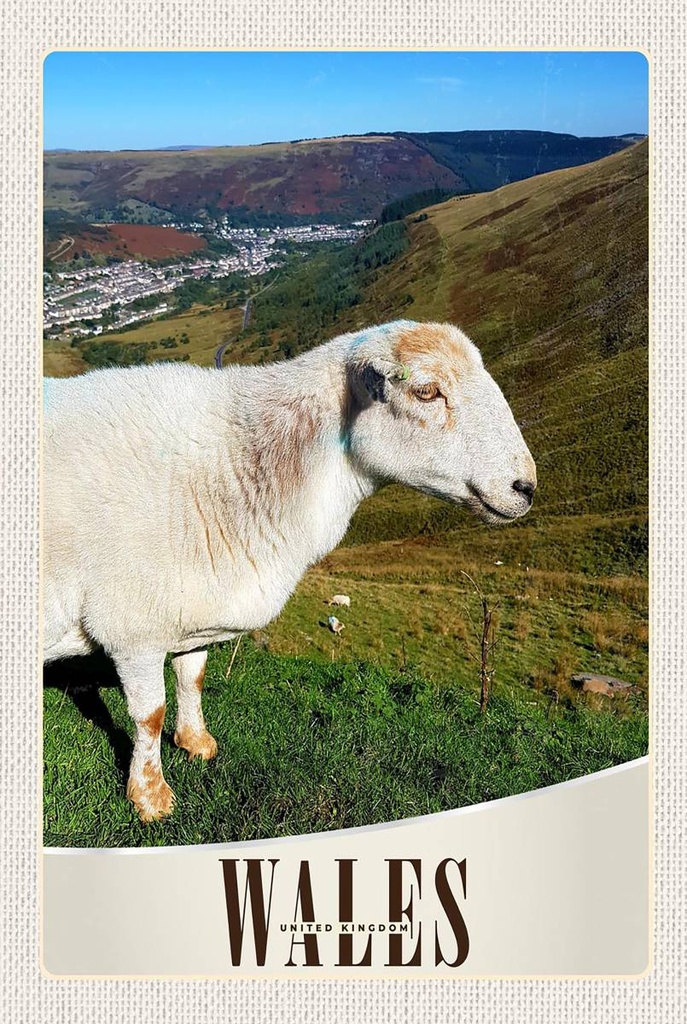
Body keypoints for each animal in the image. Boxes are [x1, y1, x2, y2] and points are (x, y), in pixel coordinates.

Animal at [43, 319, 536, 821]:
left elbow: (191, 678)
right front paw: (150, 798)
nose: (526, 487)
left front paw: (197, 743)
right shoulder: (134, 628)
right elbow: (149, 715)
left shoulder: (192, 613)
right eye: (427, 391)